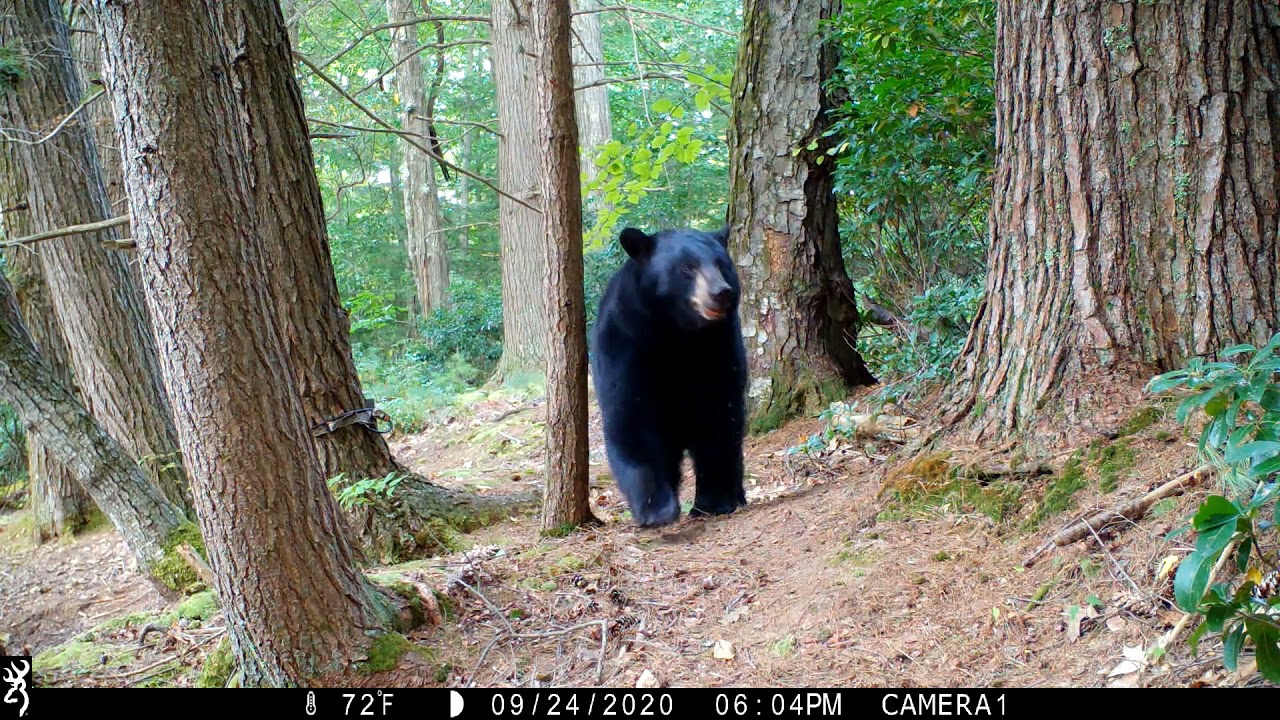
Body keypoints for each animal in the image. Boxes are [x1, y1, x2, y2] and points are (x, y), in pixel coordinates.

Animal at [589, 223, 748, 528]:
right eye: (688, 266)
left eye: (721, 263)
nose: (720, 292)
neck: (676, 331)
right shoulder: (625, 347)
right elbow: (632, 421)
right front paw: (656, 509)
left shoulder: (717, 350)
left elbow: (718, 418)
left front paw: (713, 502)